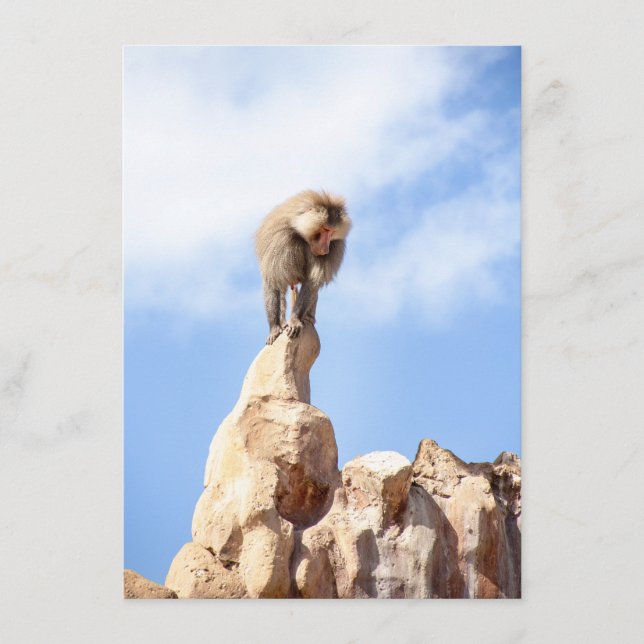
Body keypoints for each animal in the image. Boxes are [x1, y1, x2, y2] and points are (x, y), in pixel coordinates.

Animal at [255, 190, 352, 345]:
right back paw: (283, 323)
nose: (325, 250)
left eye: (332, 232)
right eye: (325, 229)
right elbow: (273, 280)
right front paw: (274, 329)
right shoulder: (279, 240)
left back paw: (308, 319)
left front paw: (295, 321)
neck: (301, 233)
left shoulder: (334, 247)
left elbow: (312, 283)